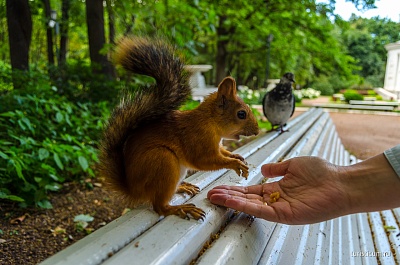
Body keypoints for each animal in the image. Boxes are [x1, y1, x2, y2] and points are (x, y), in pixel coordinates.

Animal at [99, 36, 260, 220]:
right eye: (241, 114)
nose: (257, 130)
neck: (211, 122)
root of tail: (133, 190)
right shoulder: (197, 139)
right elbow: (204, 160)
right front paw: (235, 164)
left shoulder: (217, 144)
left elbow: (223, 152)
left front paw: (237, 156)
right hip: (163, 161)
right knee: (159, 207)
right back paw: (179, 209)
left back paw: (182, 187)